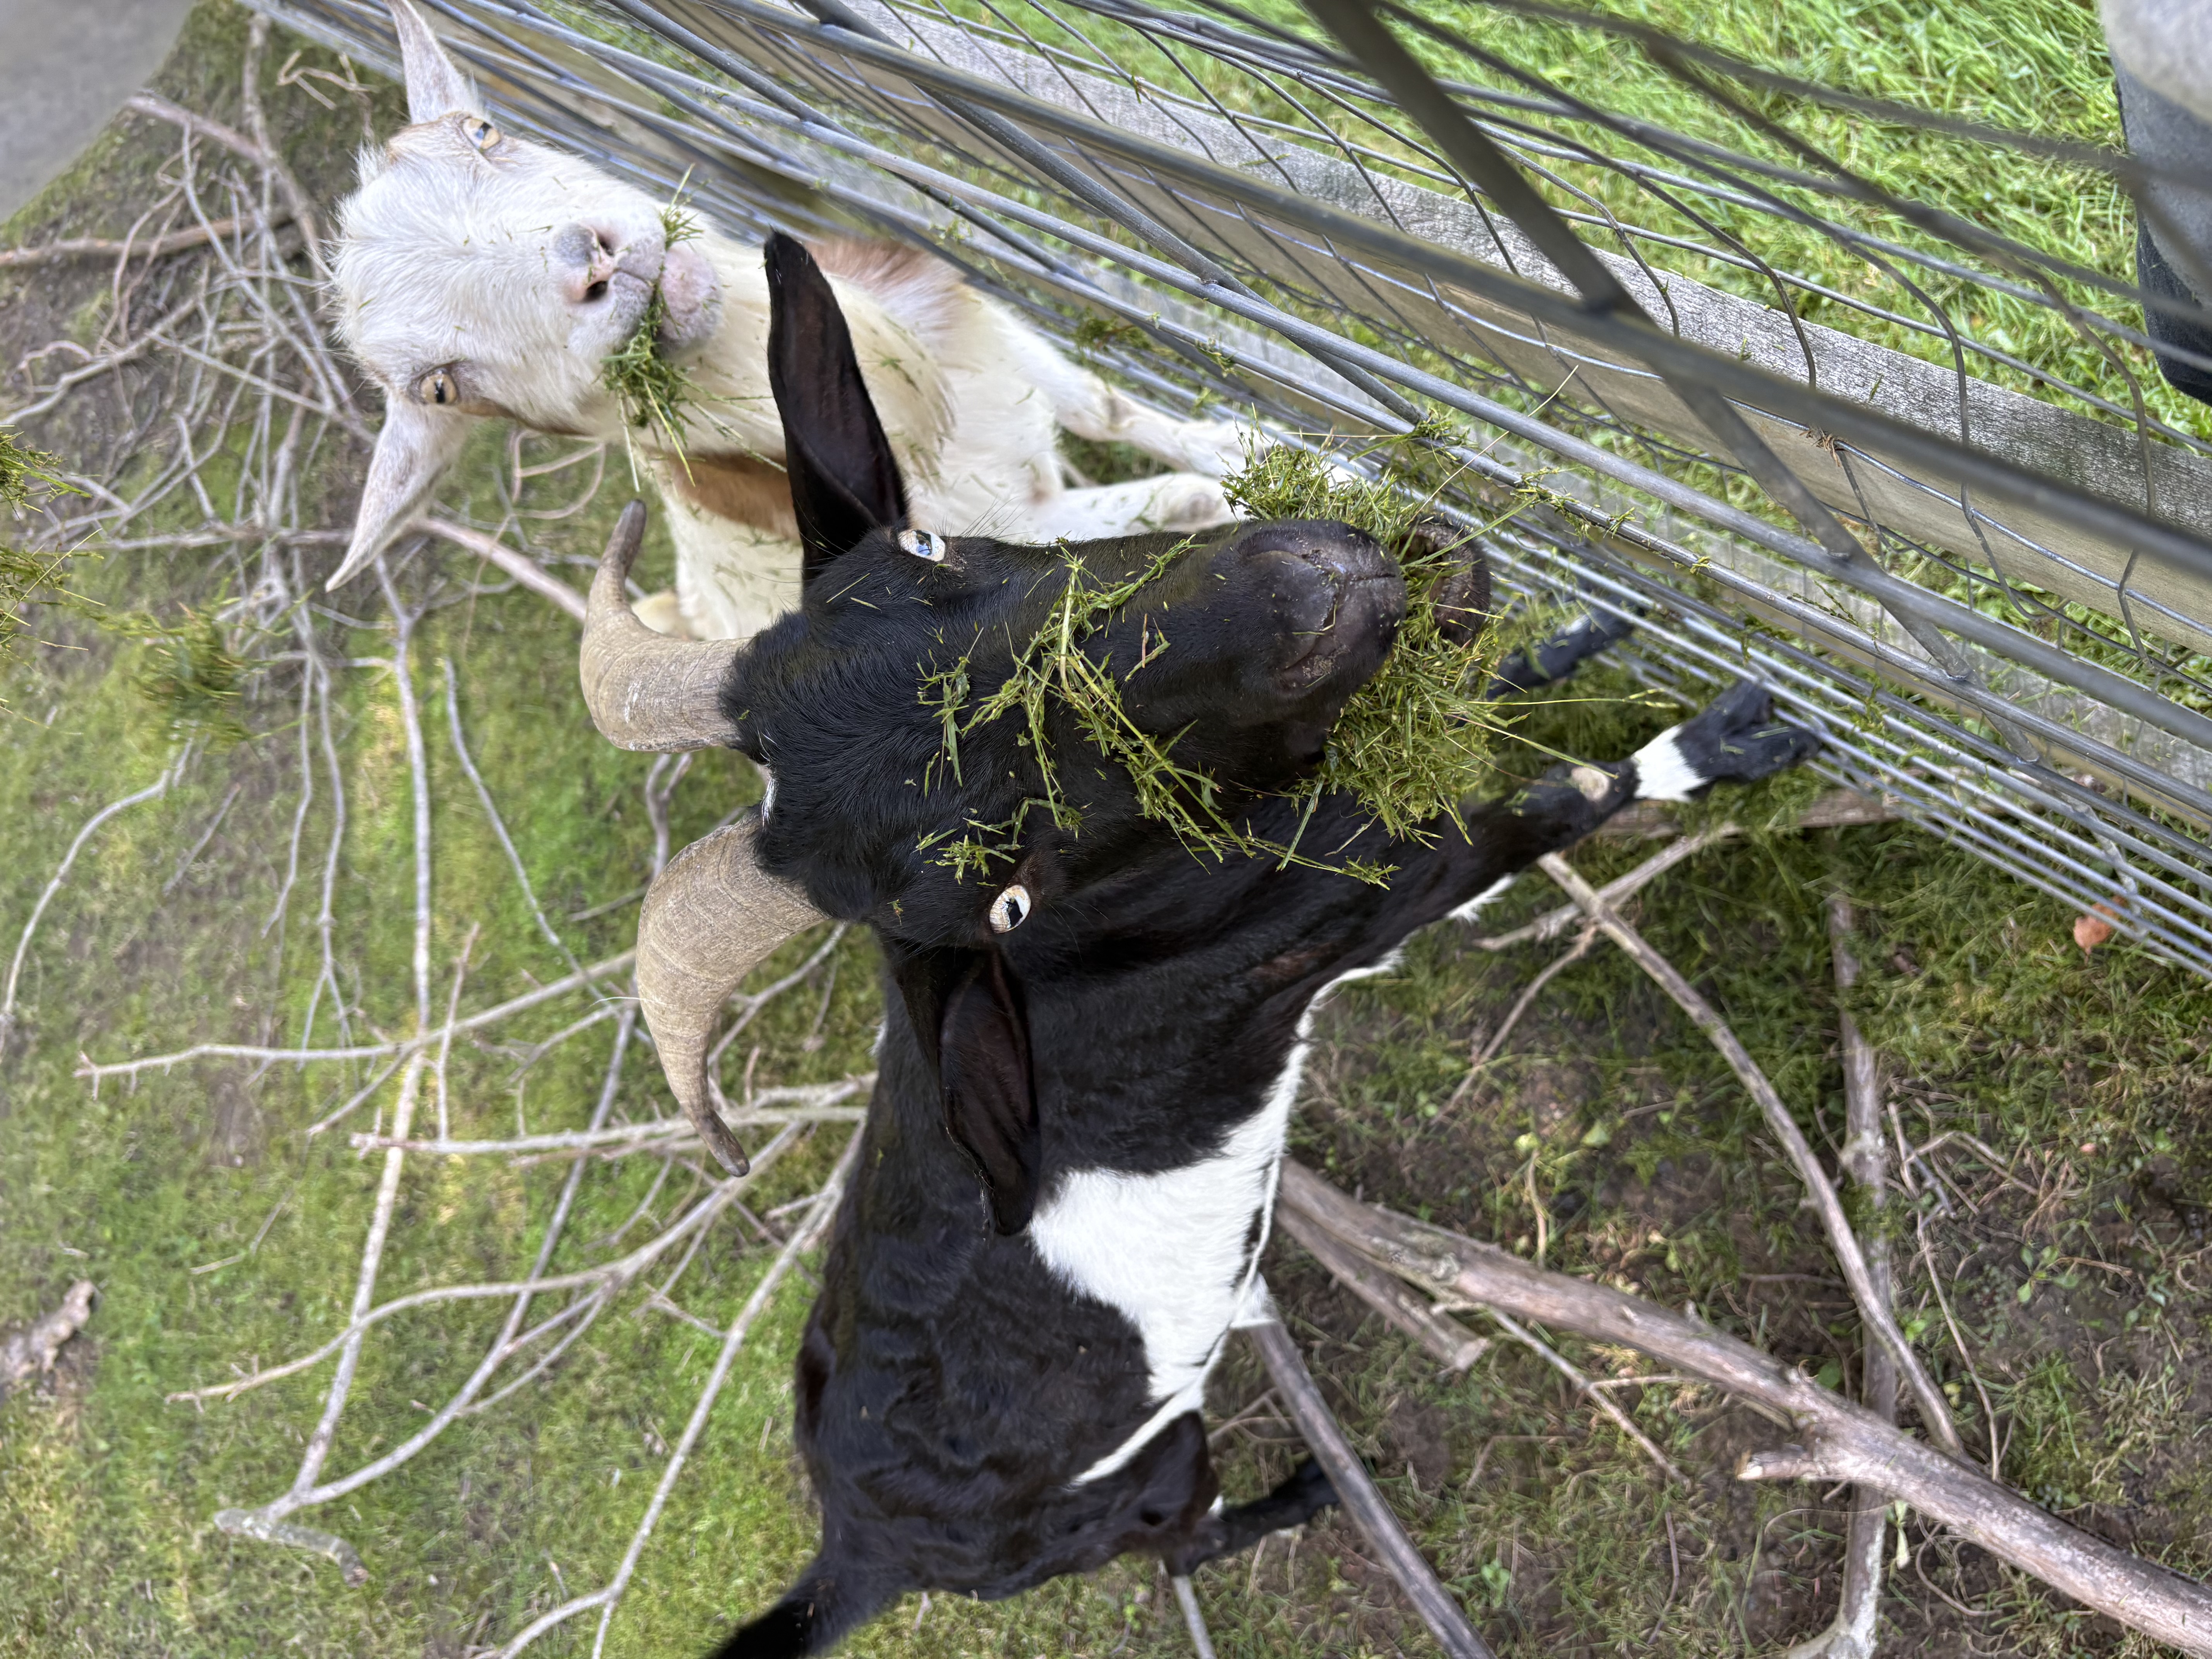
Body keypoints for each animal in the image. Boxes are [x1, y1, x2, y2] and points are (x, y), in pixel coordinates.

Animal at [329, 0, 1256, 638]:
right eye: (440, 389)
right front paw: (1238, 497)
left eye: (483, 132)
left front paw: (1244, 447)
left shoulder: (983, 336)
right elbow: (1136, 515)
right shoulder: (986, 533)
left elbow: (1108, 408)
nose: (587, 259)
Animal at [575, 235, 1821, 1654]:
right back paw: (1311, 1488)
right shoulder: (1358, 909)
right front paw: (1728, 741)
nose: (1299, 595)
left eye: (927, 547)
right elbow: (1561, 802)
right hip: (1145, 1478)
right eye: (1002, 903)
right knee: (1188, 1539)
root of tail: (856, 1551)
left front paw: (1568, 633)